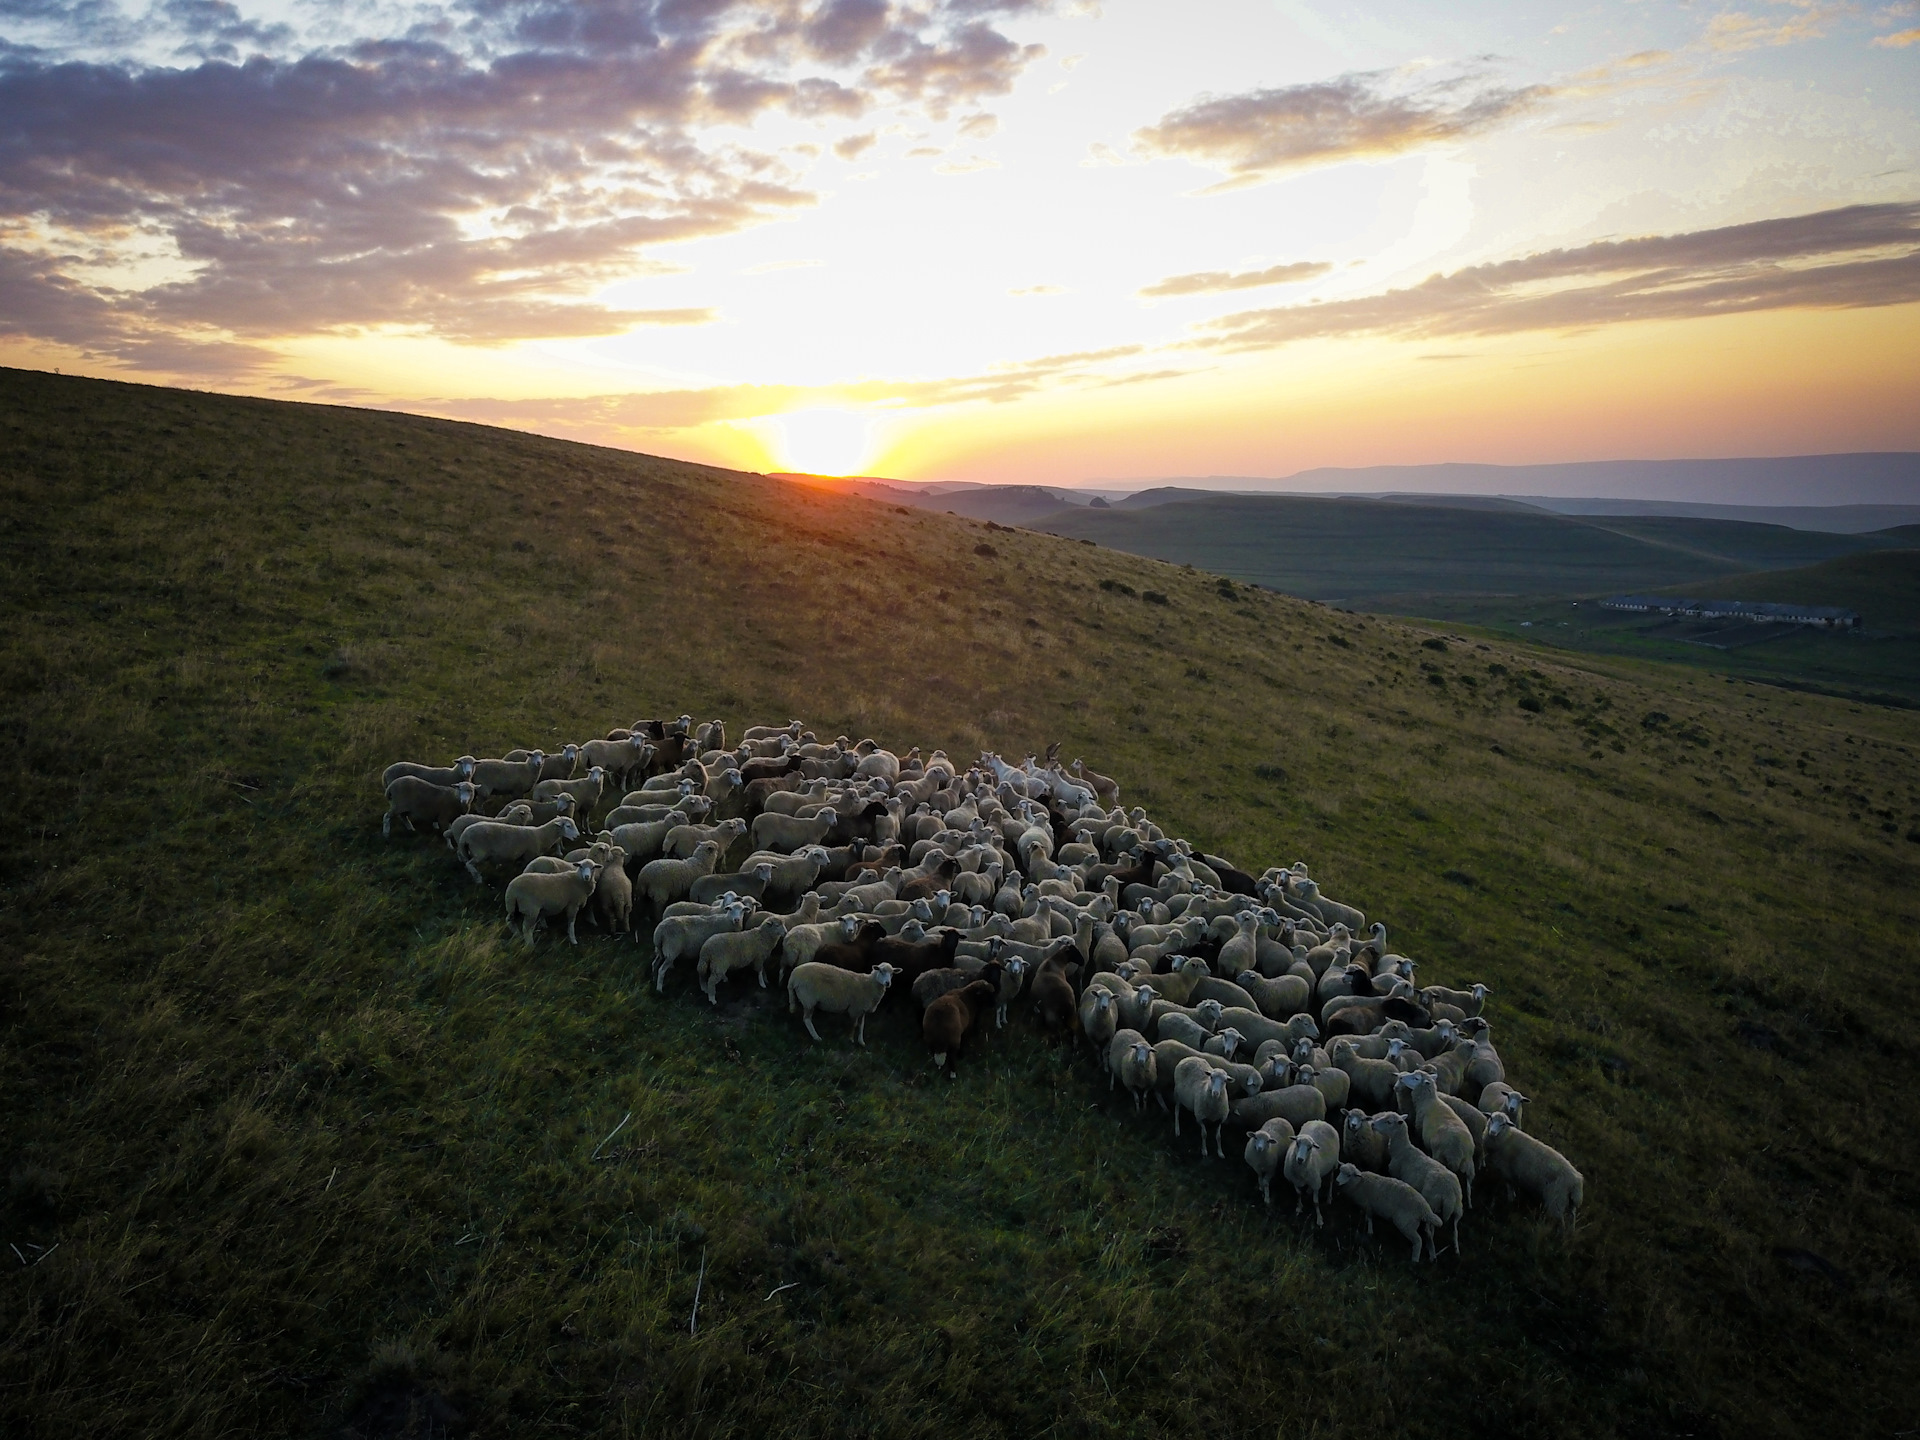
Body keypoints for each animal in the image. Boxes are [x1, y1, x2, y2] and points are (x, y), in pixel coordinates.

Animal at [1374, 1113, 1459, 1259]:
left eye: (1389, 1122)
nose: (1372, 1124)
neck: (1402, 1149)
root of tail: (1449, 1194)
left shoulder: (1396, 1174)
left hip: (1432, 1203)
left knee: (1429, 1232)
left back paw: (1431, 1254)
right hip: (1458, 1209)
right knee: (1455, 1230)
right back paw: (1456, 1251)